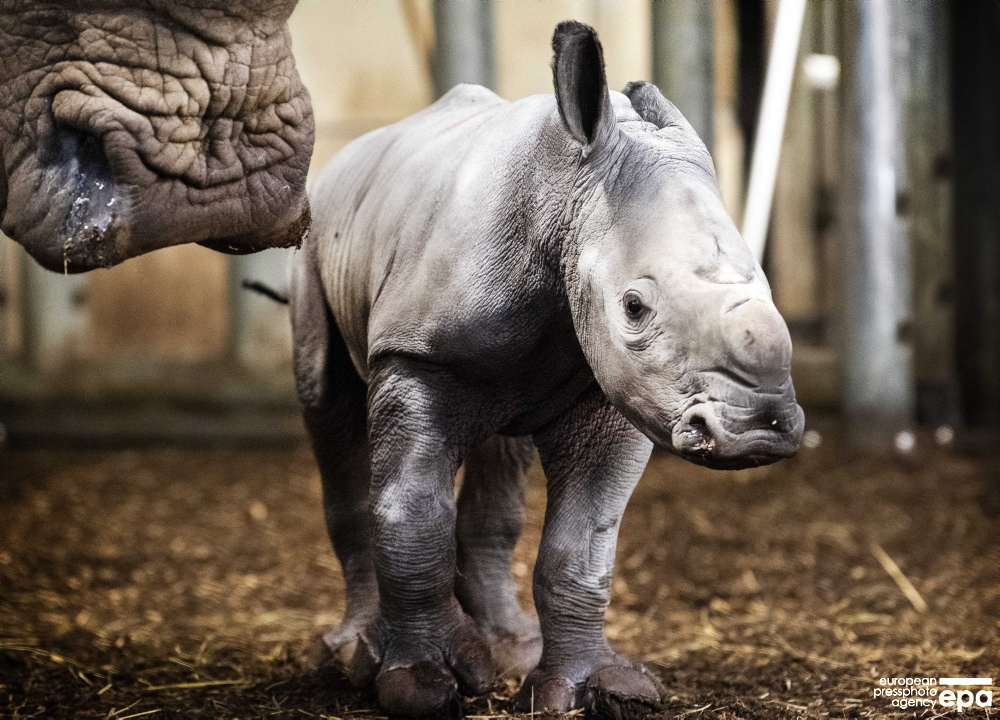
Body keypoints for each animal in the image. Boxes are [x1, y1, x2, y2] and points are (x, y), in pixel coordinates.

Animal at [291, 21, 803, 719]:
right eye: (634, 307)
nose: (757, 432)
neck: (567, 196)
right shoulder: (415, 353)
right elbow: (411, 514)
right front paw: (420, 685)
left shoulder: (613, 395)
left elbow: (582, 547)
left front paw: (590, 690)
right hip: (314, 240)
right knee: (327, 402)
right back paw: (353, 655)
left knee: (502, 454)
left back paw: (510, 650)